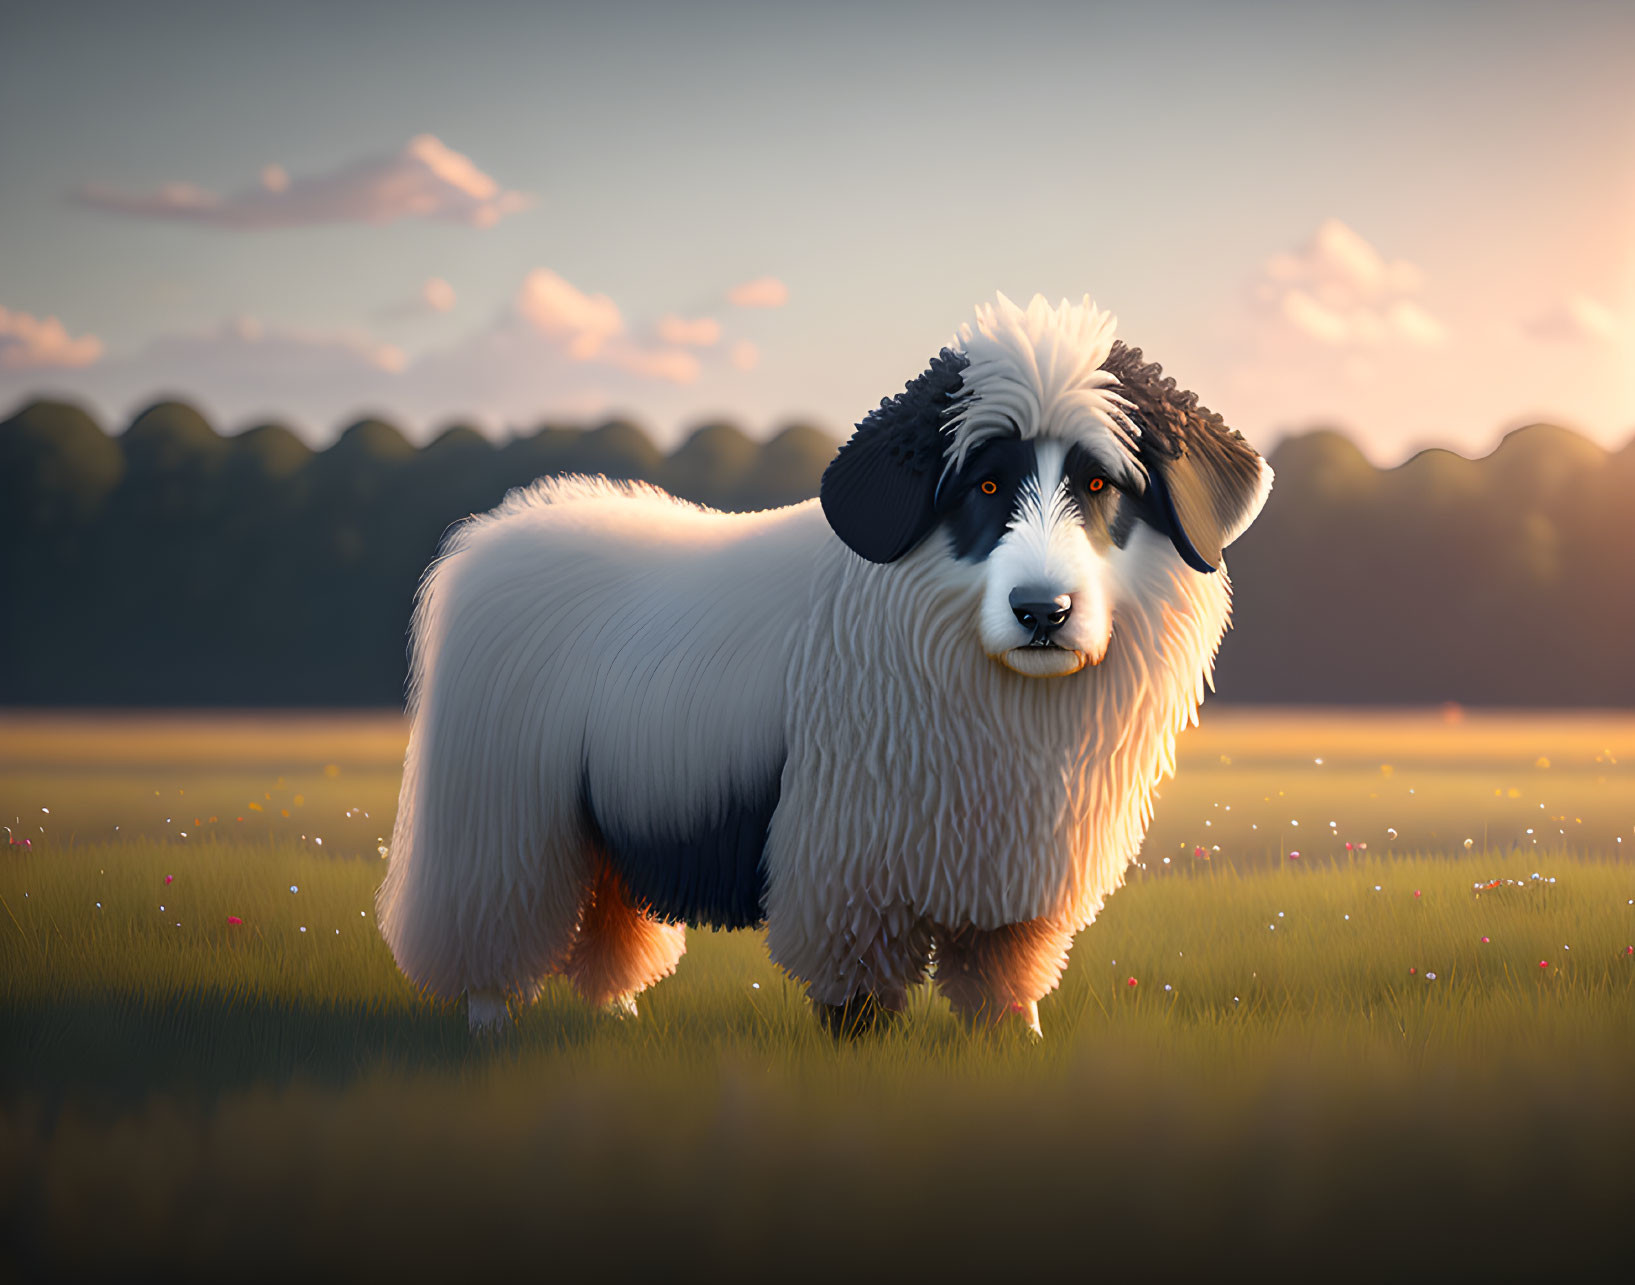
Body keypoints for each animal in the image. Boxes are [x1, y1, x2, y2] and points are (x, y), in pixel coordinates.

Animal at [376, 291, 1268, 1033]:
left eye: (1099, 483)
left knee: (607, 923)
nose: (1041, 612)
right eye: (982, 486)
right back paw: (491, 1024)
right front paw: (858, 1051)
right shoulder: (851, 862)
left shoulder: (1008, 869)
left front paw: (1013, 1042)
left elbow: (999, 977)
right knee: (487, 928)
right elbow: (859, 988)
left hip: (604, 813)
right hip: (501, 812)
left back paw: (616, 1022)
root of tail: (489, 536)